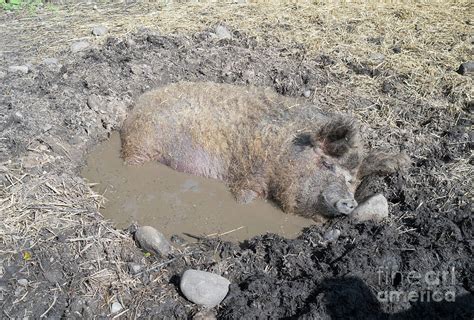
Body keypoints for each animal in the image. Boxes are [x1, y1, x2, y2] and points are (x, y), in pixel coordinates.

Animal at [119, 81, 408, 219]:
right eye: (326, 163)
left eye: (352, 180)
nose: (350, 202)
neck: (282, 149)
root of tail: (137, 105)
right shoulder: (248, 175)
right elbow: (243, 197)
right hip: (140, 146)